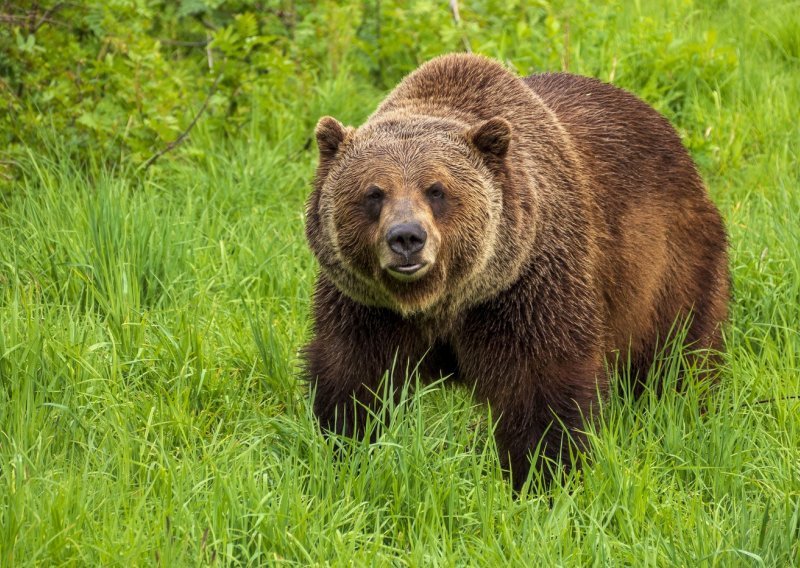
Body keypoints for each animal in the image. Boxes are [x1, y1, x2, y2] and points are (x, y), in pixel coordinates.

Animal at [304, 53, 728, 488]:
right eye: (374, 193)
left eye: (436, 190)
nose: (406, 237)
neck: (444, 300)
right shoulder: (367, 306)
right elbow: (355, 377)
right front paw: (345, 448)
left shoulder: (527, 288)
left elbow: (540, 386)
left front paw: (544, 473)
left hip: (668, 263)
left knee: (678, 352)